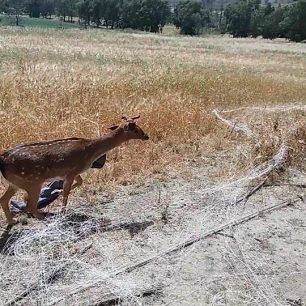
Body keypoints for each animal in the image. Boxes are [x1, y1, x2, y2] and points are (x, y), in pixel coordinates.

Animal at [0, 115, 148, 225]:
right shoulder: (71, 171)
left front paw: (58, 193)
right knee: (30, 205)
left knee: (4, 199)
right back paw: (44, 217)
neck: (90, 151)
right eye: (136, 130)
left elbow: (79, 182)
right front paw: (63, 211)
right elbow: (67, 193)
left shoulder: (74, 172)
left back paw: (13, 221)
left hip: (15, 183)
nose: (146, 136)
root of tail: (3, 159)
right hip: (33, 181)